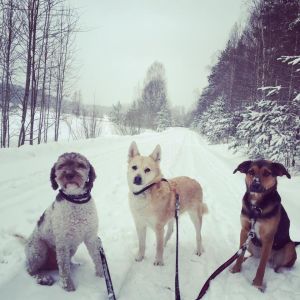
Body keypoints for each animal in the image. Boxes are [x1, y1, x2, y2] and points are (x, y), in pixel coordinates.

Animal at [231, 161, 298, 292]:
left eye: (267, 173)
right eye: (251, 171)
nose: (255, 184)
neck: (256, 208)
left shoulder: (268, 238)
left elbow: (261, 266)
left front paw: (257, 284)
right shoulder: (245, 230)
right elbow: (240, 254)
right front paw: (236, 270)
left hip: (289, 247)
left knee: (276, 265)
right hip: (251, 244)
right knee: (250, 255)